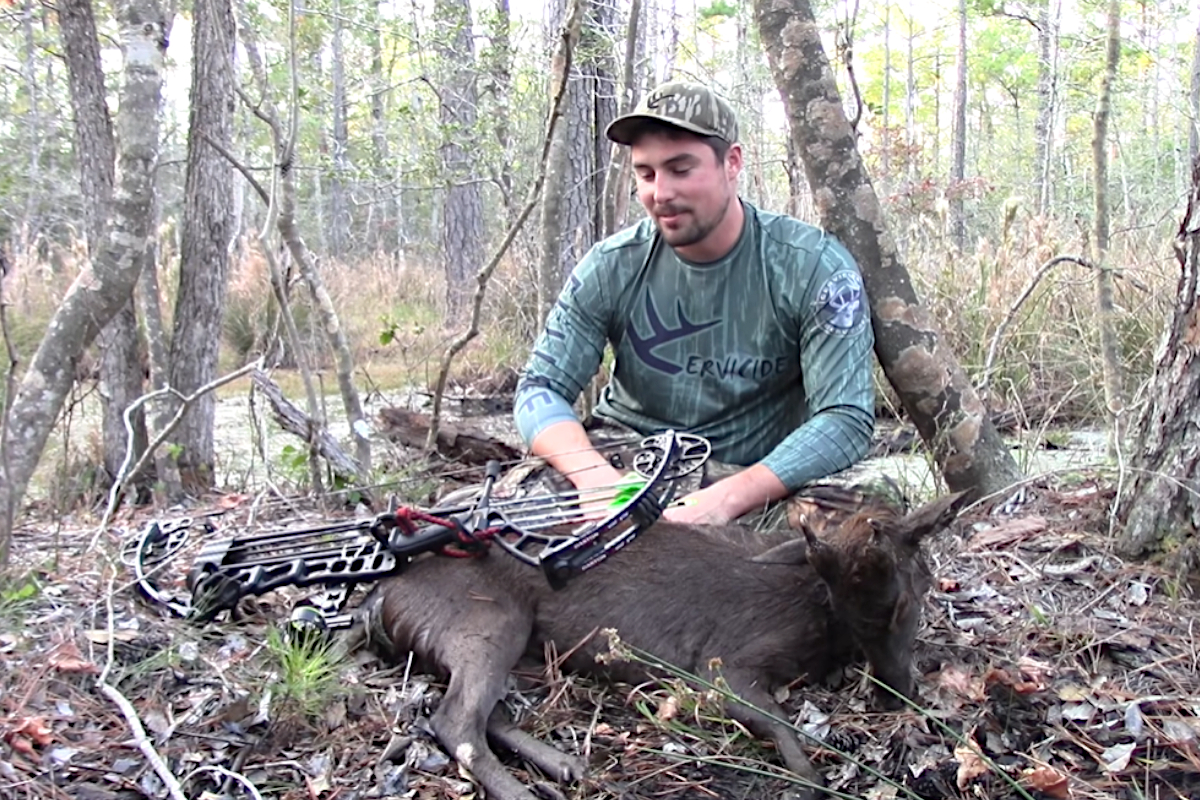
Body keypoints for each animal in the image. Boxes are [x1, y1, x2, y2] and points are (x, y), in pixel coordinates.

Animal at [360, 494, 969, 800]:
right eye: (844, 599)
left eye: (910, 595)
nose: (897, 690)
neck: (822, 625)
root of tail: (382, 598)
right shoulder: (722, 661)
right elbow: (779, 724)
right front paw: (809, 778)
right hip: (485, 618)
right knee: (455, 719)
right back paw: (530, 790)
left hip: (525, 650)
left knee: (491, 713)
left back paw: (569, 766)